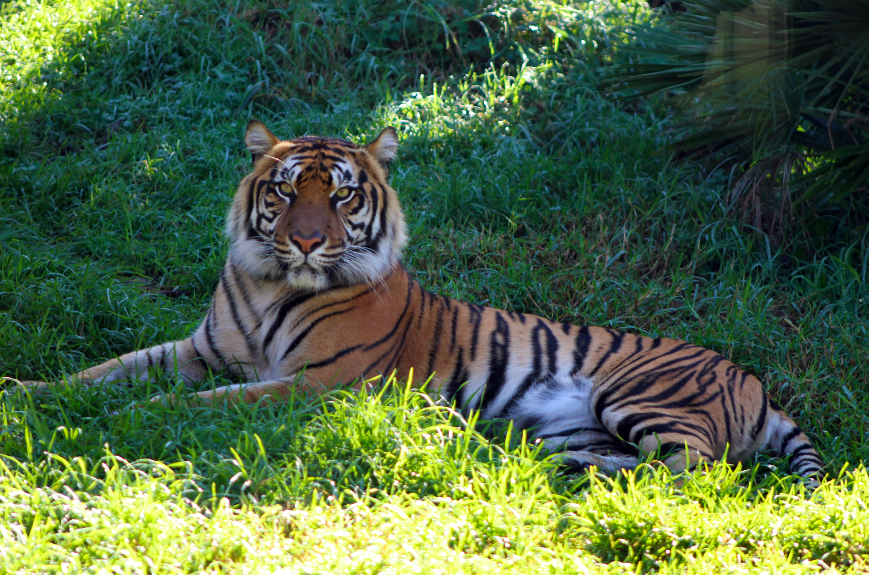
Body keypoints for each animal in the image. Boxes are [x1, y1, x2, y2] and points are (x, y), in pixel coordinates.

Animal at [19, 120, 824, 484]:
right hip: (576, 433)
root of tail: (754, 381)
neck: (269, 278)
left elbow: (204, 402)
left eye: (342, 195)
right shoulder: (199, 350)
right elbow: (107, 368)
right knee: (619, 466)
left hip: (641, 397)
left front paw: (134, 421)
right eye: (285, 189)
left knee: (703, 472)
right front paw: (30, 392)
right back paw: (491, 460)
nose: (306, 241)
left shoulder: (316, 383)